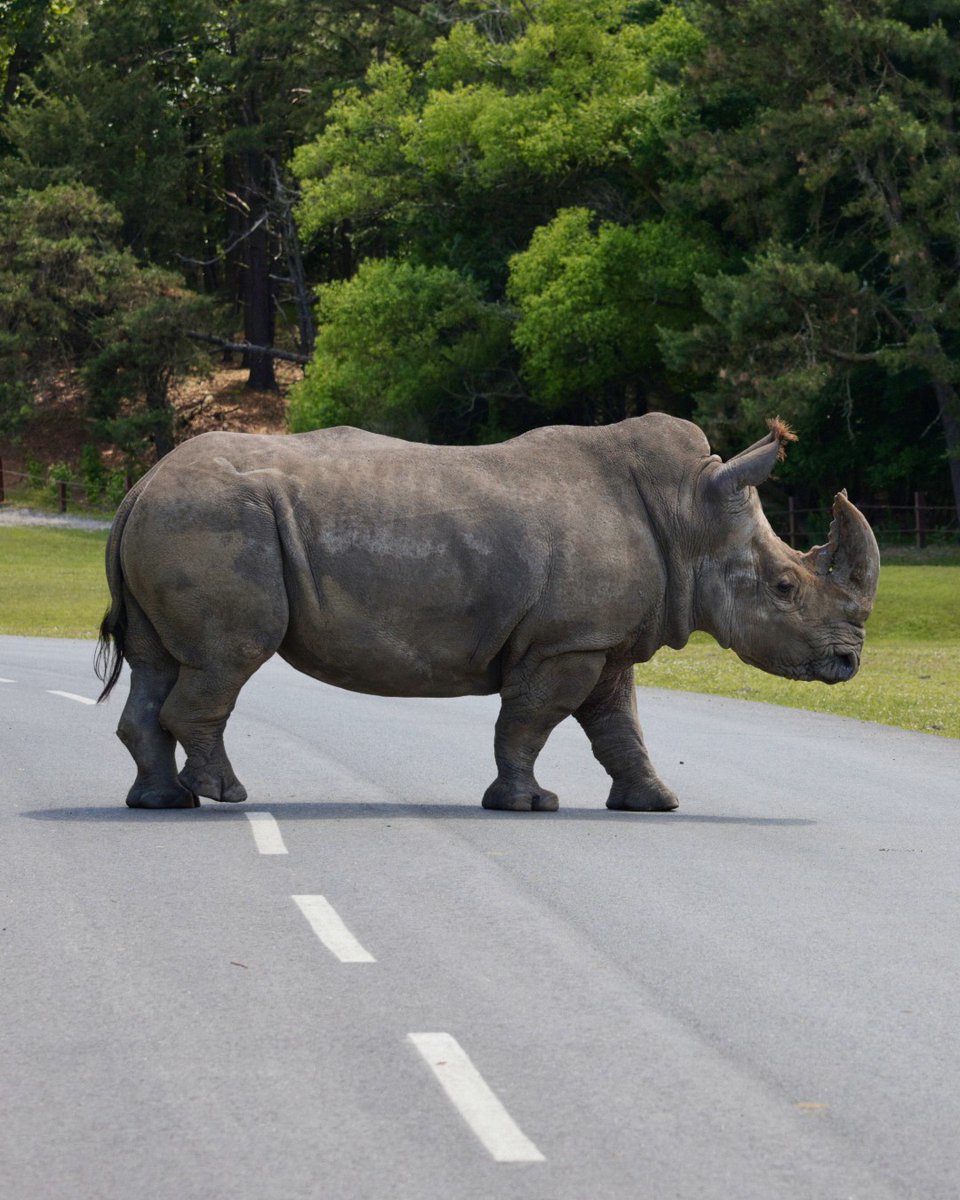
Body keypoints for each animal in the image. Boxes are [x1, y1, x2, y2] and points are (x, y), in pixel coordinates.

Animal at [96, 413, 879, 812]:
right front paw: (527, 803)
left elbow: (618, 725)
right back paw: (225, 795)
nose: (849, 661)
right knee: (227, 660)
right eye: (785, 587)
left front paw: (656, 801)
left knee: (157, 666)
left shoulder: (598, 638)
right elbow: (531, 721)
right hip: (213, 521)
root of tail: (138, 487)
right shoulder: (566, 641)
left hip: (179, 518)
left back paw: (160, 802)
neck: (690, 513)